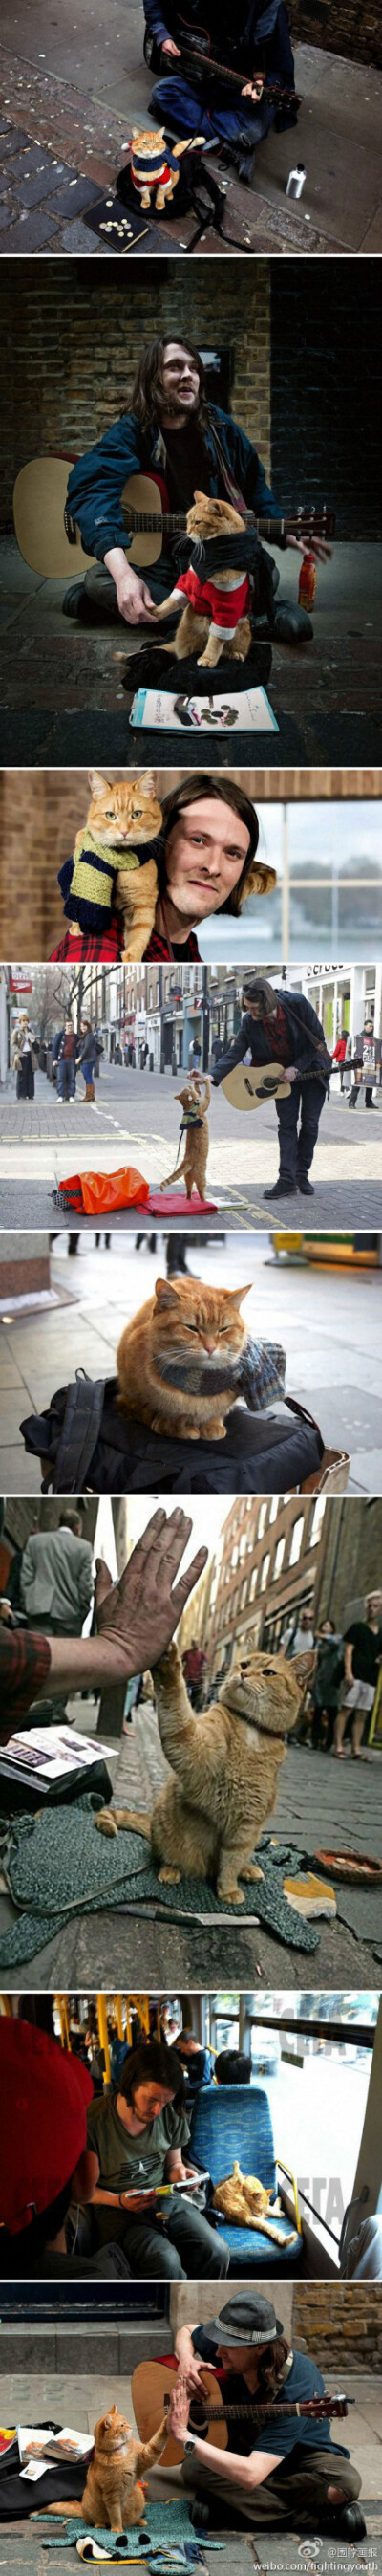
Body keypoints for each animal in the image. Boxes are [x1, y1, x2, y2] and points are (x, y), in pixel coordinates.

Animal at [39, 2400, 169, 2524]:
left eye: (126, 2421)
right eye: (122, 2425)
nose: (131, 2427)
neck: (121, 2451)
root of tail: (82, 2508)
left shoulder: (146, 2455)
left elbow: (156, 2443)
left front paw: (166, 2421)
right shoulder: (111, 2492)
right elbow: (115, 2514)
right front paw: (117, 2528)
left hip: (139, 2497)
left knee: (131, 2519)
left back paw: (139, 2521)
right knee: (95, 2520)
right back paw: (100, 2525)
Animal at [94, 1638, 303, 1906]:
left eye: (268, 1673)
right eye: (244, 1664)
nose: (243, 1674)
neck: (250, 1730)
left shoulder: (247, 1824)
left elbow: (232, 1862)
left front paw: (228, 1888)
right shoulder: (192, 1749)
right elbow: (175, 1699)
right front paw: (169, 1666)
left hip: (255, 1834)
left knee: (240, 1860)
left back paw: (248, 1869)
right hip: (168, 1833)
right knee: (166, 1857)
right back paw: (171, 1871)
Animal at [152, 491, 254, 669]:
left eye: (197, 522)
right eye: (187, 520)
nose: (187, 532)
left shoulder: (226, 609)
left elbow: (216, 639)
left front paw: (208, 658)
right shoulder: (187, 582)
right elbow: (170, 602)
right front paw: (154, 612)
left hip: (242, 629)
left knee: (234, 648)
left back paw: (235, 654)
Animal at [159, 1081, 210, 1211]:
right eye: (186, 1088)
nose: (188, 1083)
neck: (189, 1107)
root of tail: (188, 1160)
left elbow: (199, 1091)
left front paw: (197, 1082)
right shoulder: (206, 1102)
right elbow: (207, 1091)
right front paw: (206, 1080)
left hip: (188, 1177)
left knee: (188, 1191)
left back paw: (189, 1200)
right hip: (201, 1177)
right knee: (201, 1191)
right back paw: (205, 1202)